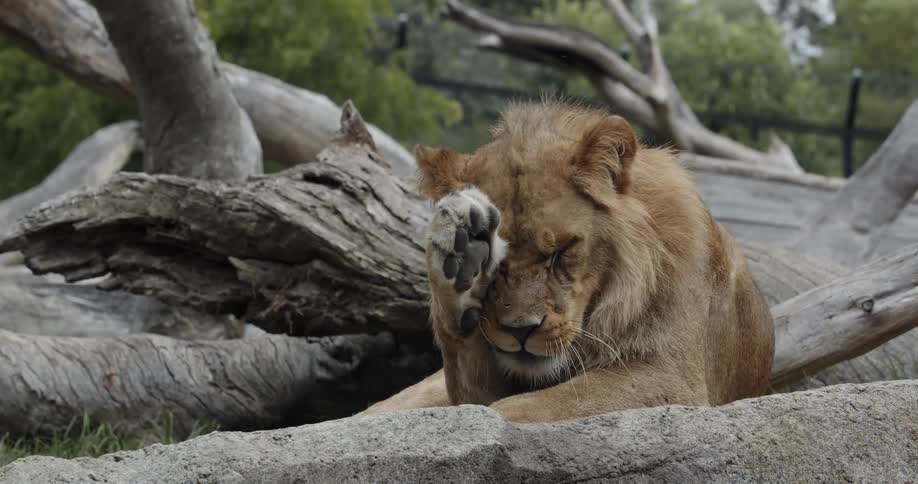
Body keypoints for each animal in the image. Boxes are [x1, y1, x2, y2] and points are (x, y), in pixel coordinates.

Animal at [361, 100, 775, 423]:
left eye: (562, 251)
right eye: (496, 263)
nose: (520, 331)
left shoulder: (675, 378)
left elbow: (522, 408)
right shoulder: (474, 382)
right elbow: (478, 403)